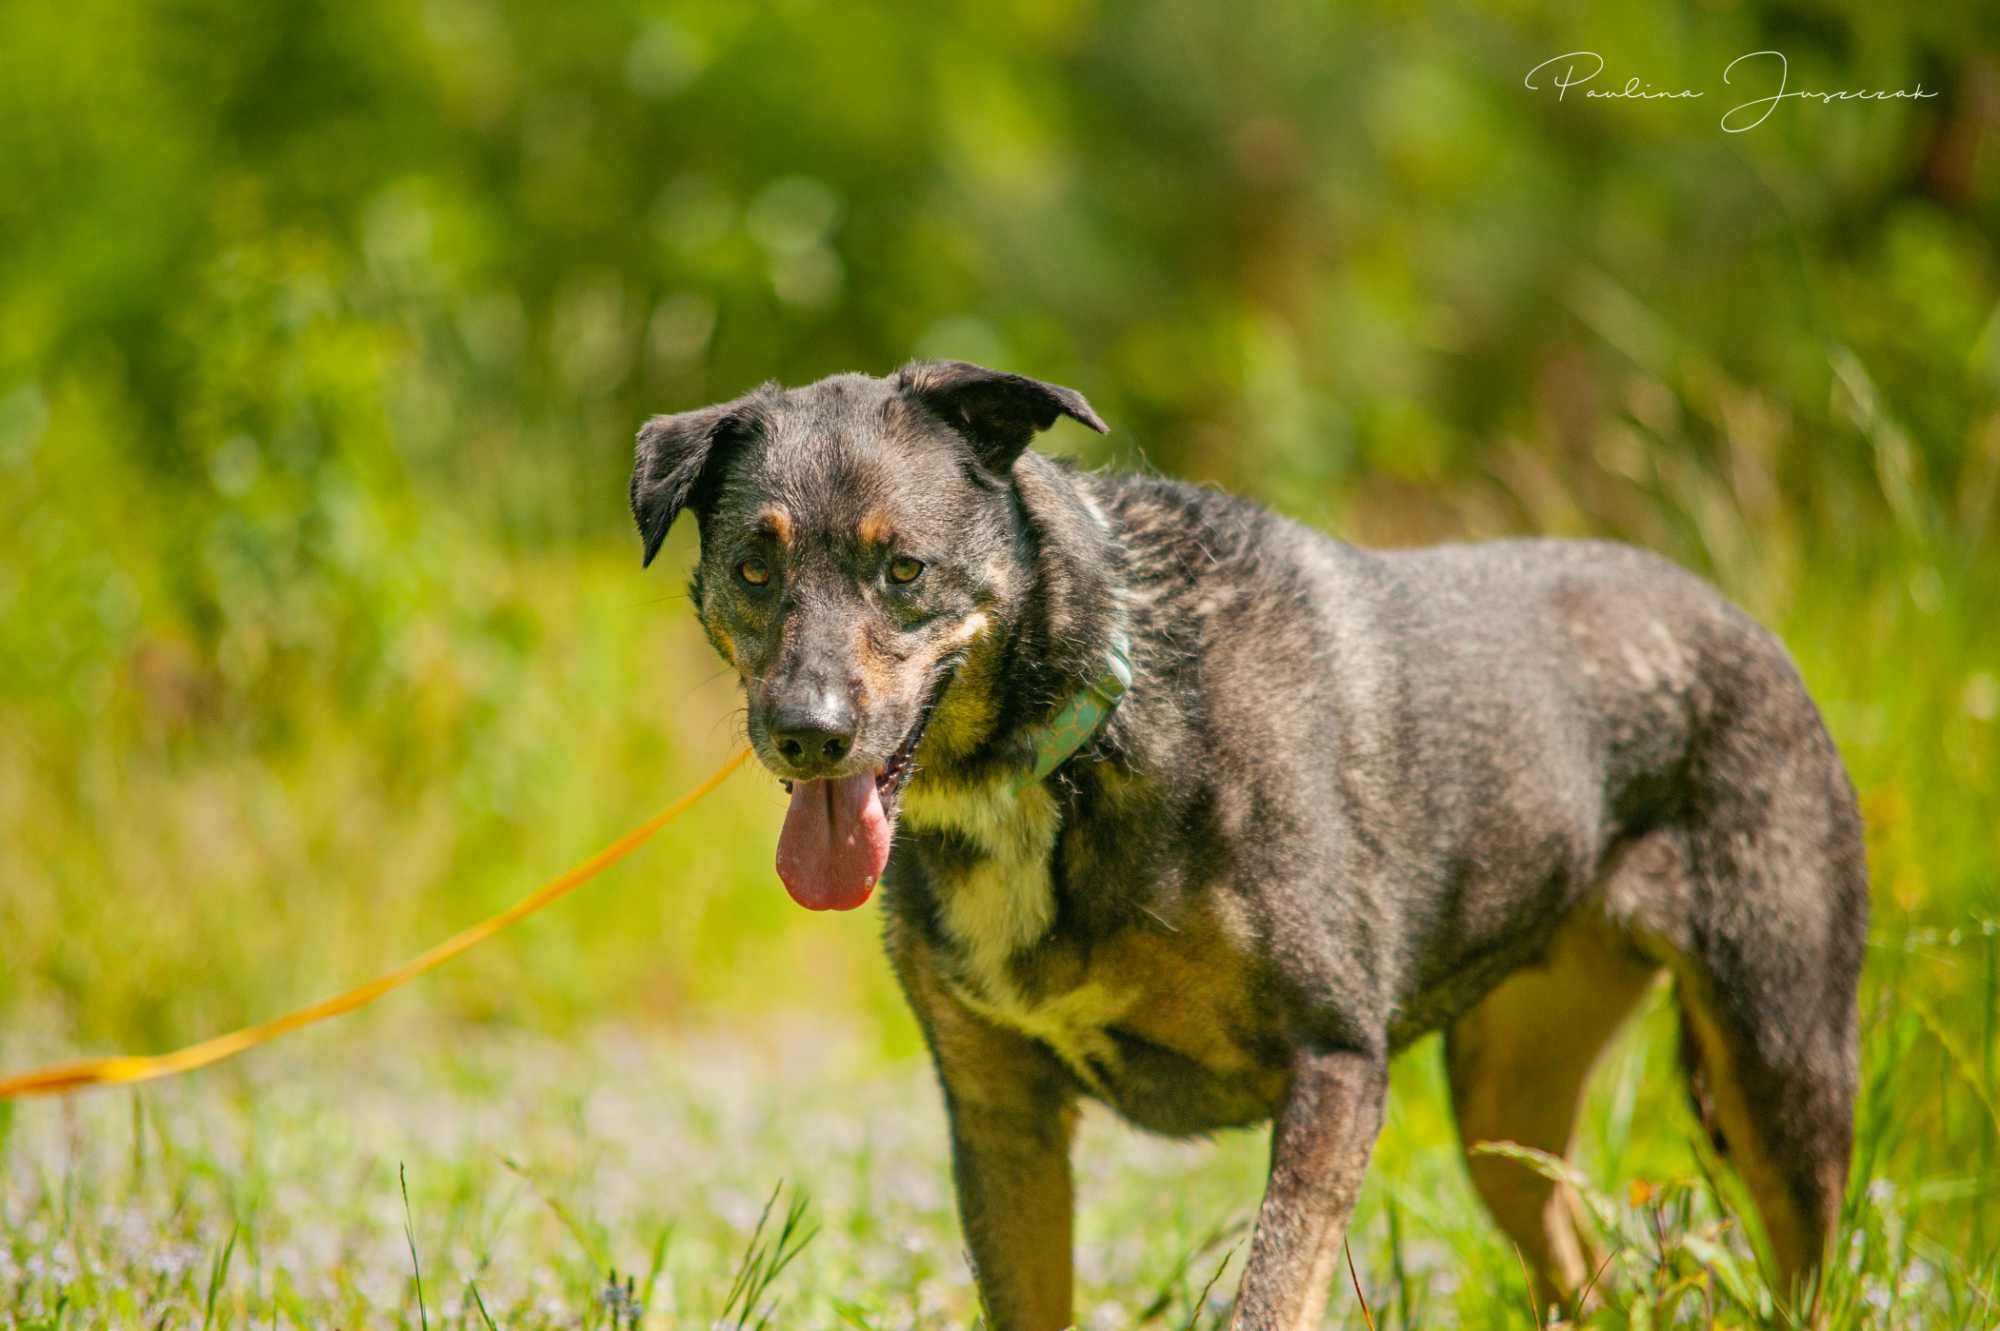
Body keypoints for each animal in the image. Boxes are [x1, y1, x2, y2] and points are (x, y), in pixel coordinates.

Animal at [632, 359, 1864, 1327]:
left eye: (904, 569)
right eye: (754, 567)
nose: (809, 732)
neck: (1088, 724)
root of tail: (1739, 620)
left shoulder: (1334, 1065)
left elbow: (1271, 1290)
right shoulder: (1001, 1117)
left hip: (1782, 1065)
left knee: (1809, 1265)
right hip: (1504, 1113)